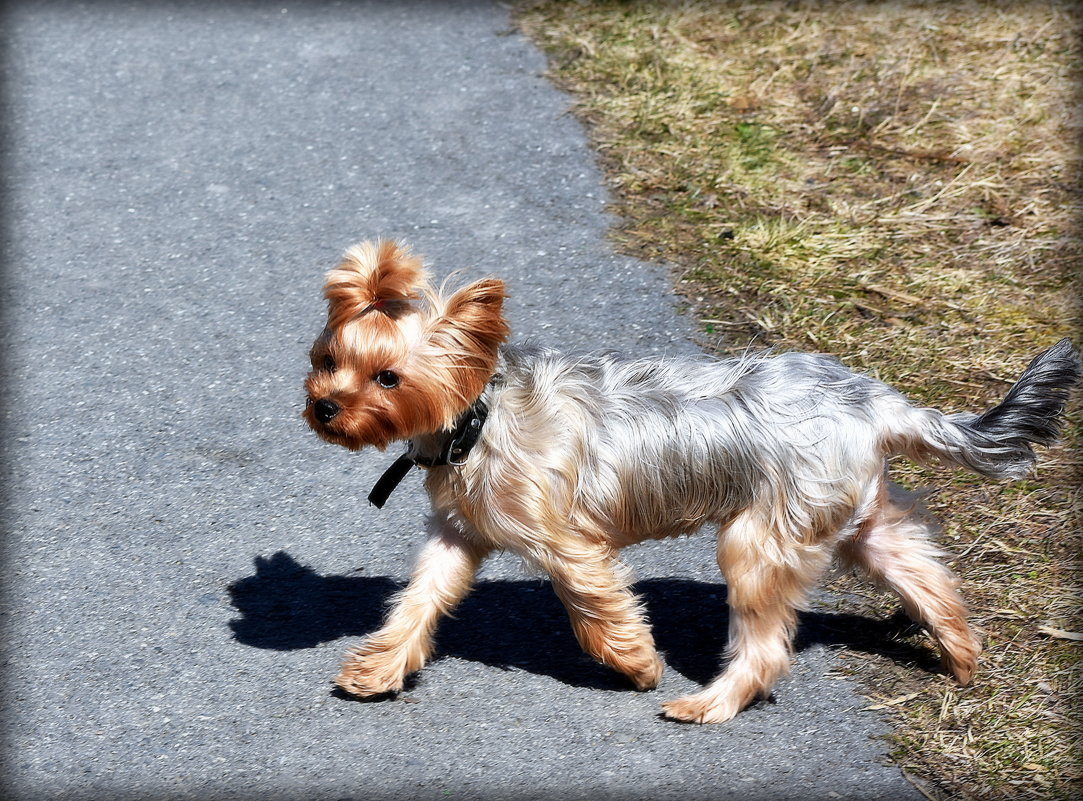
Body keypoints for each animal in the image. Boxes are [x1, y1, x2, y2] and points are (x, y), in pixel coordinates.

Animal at [301, 241, 1078, 723]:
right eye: (328, 359)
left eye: (388, 377)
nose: (324, 406)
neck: (477, 417)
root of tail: (876, 402)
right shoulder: (457, 534)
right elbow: (417, 600)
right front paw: (377, 669)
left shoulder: (567, 541)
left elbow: (594, 603)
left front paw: (635, 663)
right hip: (851, 519)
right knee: (922, 569)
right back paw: (961, 655)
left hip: (760, 536)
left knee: (764, 647)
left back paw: (704, 704)